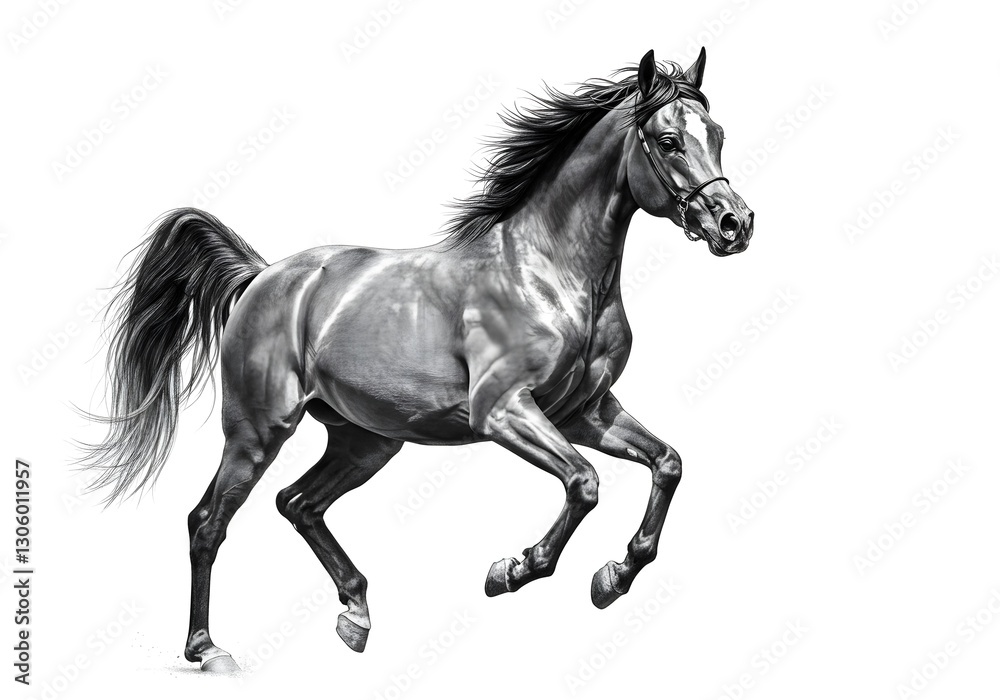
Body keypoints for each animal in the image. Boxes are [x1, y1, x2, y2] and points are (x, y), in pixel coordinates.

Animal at [81, 48, 753, 672]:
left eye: (717, 134)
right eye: (668, 141)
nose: (735, 225)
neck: (550, 273)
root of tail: (264, 276)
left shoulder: (584, 412)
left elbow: (667, 464)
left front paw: (613, 576)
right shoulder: (504, 412)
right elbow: (583, 484)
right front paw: (512, 570)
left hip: (367, 441)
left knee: (297, 503)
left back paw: (355, 615)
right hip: (257, 431)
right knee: (207, 521)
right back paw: (207, 648)